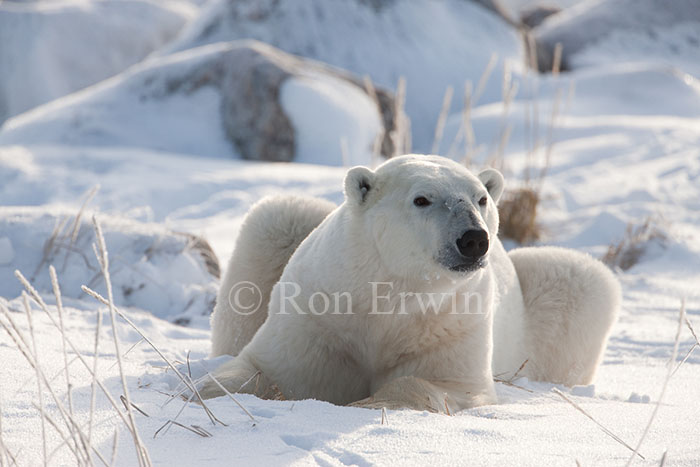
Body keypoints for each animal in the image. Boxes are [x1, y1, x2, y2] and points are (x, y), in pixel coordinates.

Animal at [203, 155, 621, 412]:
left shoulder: (451, 325)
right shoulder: (319, 315)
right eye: (422, 199)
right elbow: (265, 368)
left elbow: (437, 383)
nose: (474, 239)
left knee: (584, 279)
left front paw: (370, 403)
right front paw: (201, 393)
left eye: (481, 198)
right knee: (277, 215)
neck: (391, 291)